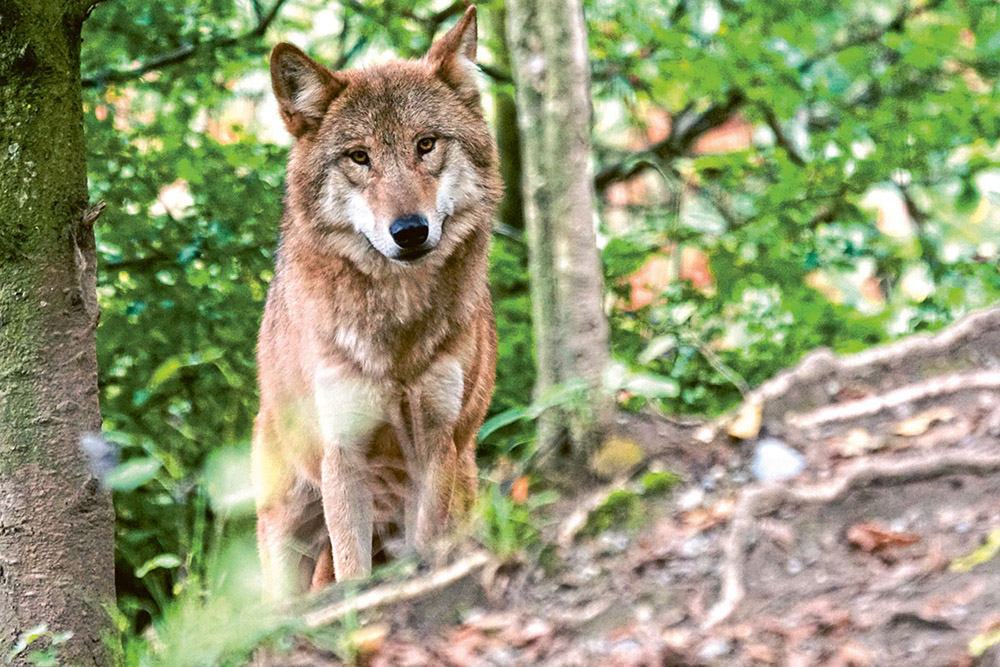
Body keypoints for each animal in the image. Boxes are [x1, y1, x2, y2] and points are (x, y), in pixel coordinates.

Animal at [250, 6, 500, 596]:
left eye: (426, 144)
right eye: (359, 157)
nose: (409, 231)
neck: (398, 330)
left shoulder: (436, 443)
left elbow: (426, 544)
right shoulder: (343, 453)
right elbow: (352, 569)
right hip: (287, 528)